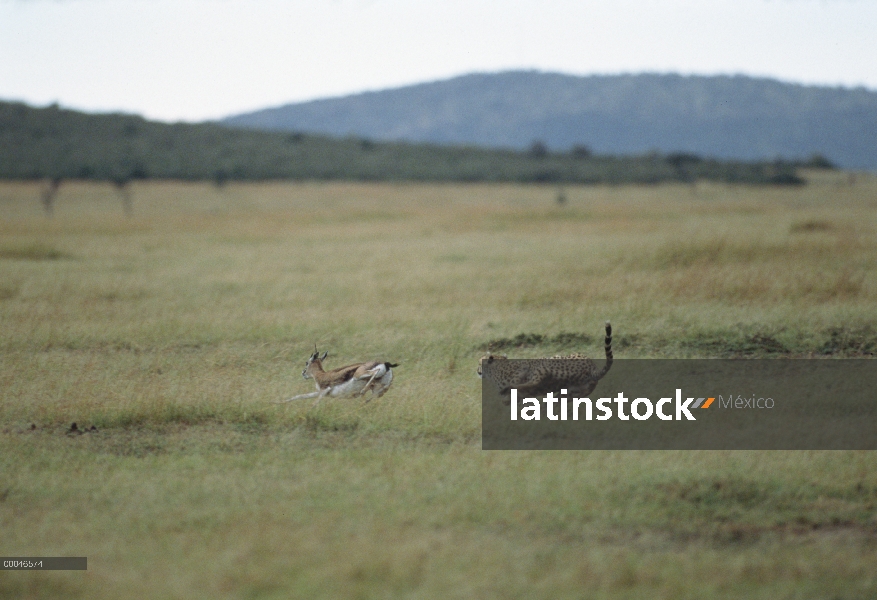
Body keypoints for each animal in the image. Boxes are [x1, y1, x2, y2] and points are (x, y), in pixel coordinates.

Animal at [476, 322, 612, 400]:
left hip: (547, 364)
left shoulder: (524, 368)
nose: (477, 370)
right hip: (571, 392)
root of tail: (592, 368)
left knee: (535, 381)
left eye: (479, 362)